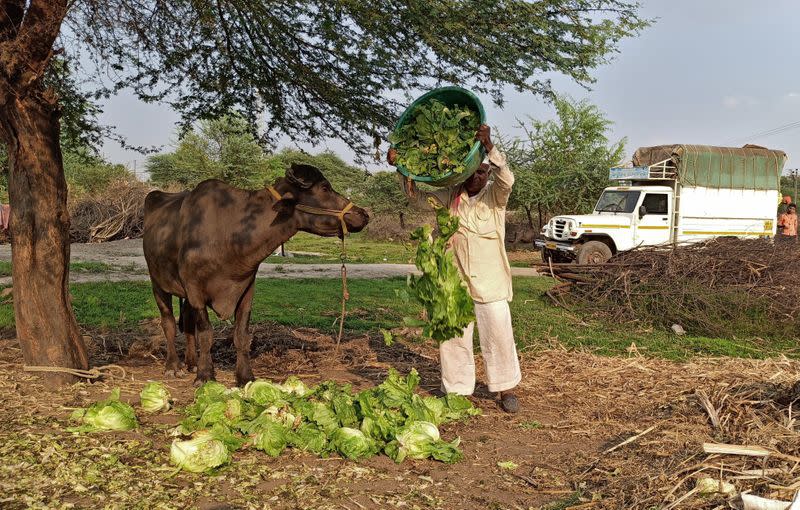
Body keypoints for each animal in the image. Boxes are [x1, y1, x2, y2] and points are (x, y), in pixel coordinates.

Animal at [144, 165, 368, 384]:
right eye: (324, 188)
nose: (363, 214)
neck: (229, 234)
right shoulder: (195, 289)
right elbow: (206, 334)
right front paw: (205, 375)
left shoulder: (245, 289)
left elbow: (241, 335)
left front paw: (245, 376)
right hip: (157, 283)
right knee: (169, 323)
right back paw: (173, 366)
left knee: (189, 324)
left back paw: (191, 362)